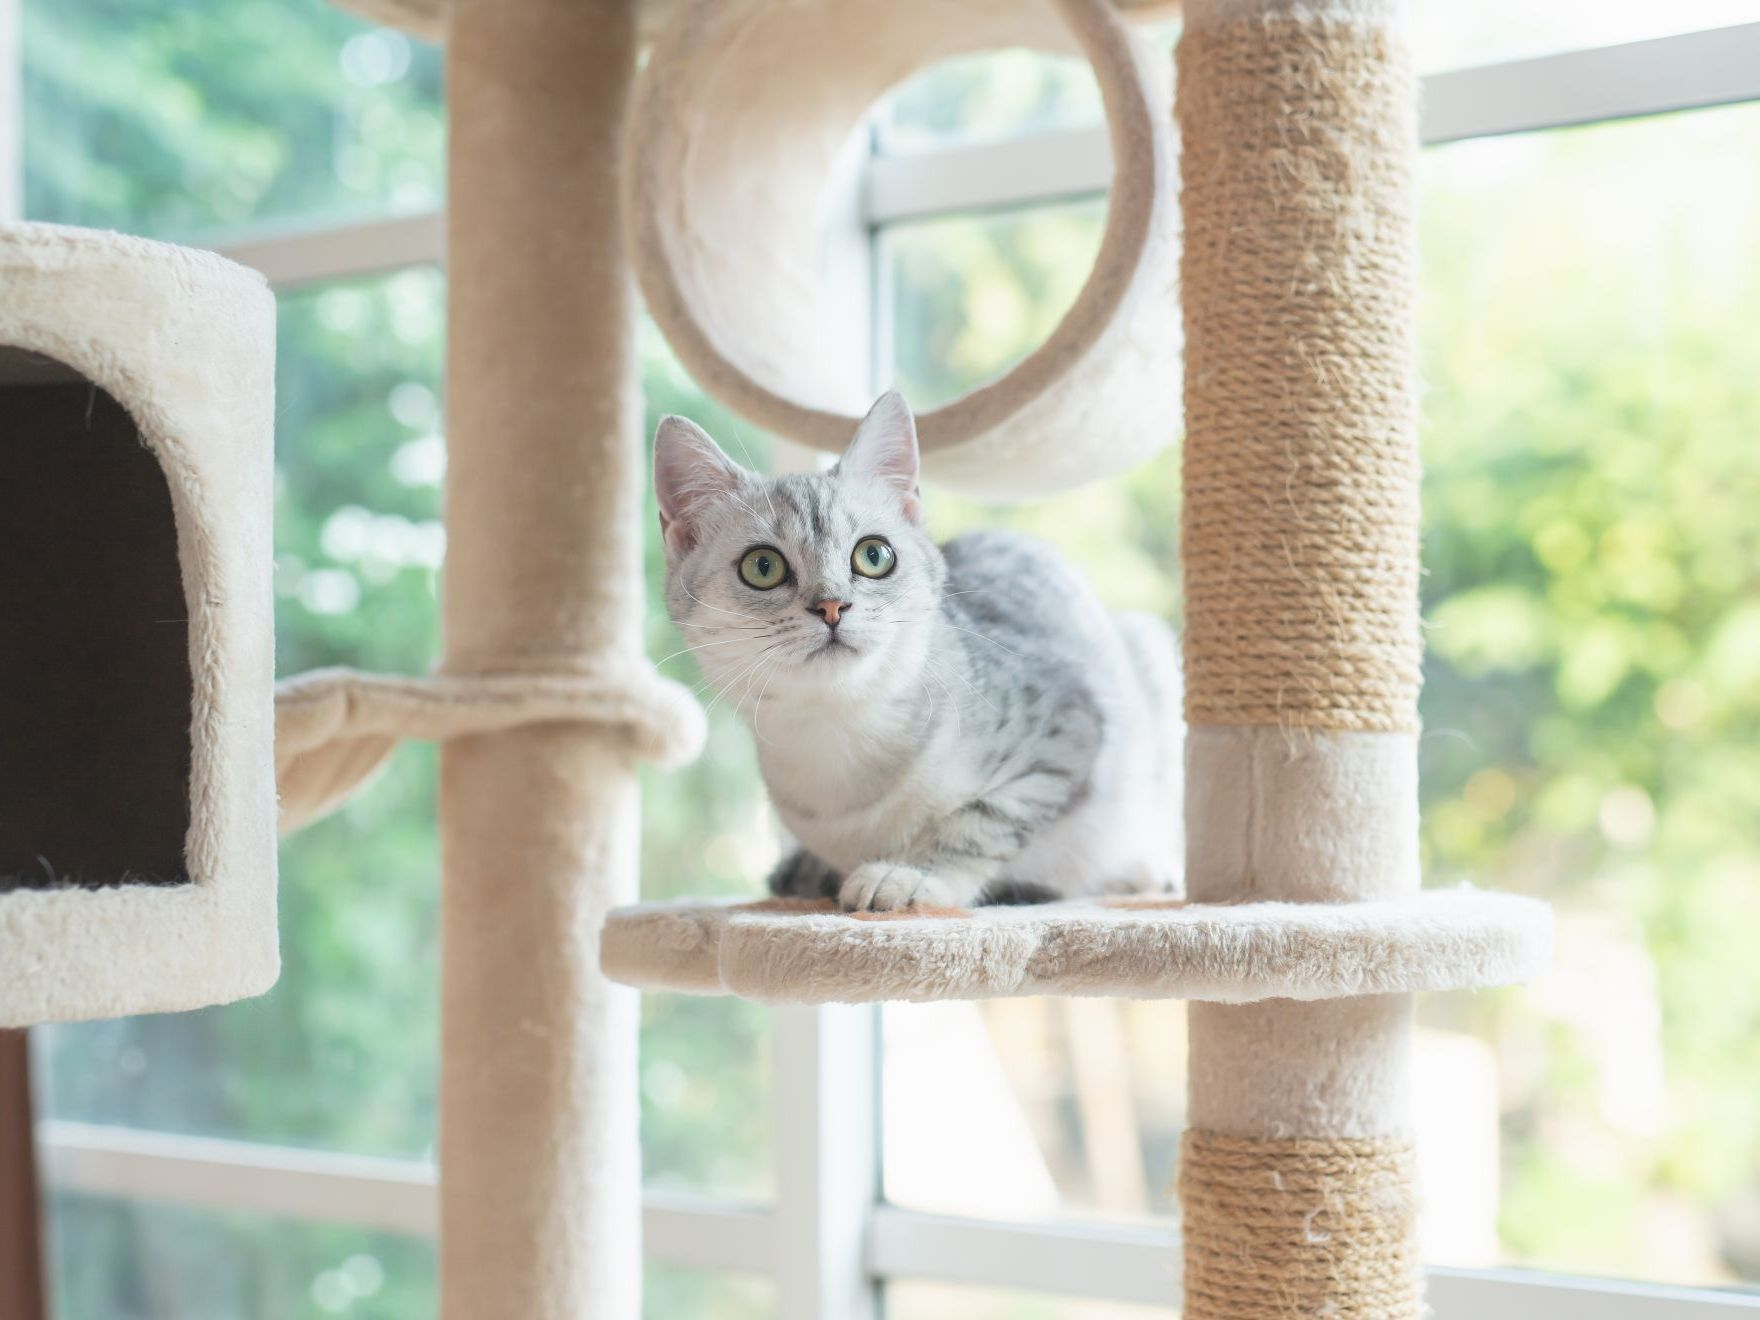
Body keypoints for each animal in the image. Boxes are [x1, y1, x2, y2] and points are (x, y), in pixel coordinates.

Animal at [651, 387, 1182, 915]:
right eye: (762, 566)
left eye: (873, 555)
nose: (831, 605)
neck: (839, 739)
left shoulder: (1065, 731)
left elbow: (979, 820)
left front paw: (911, 875)